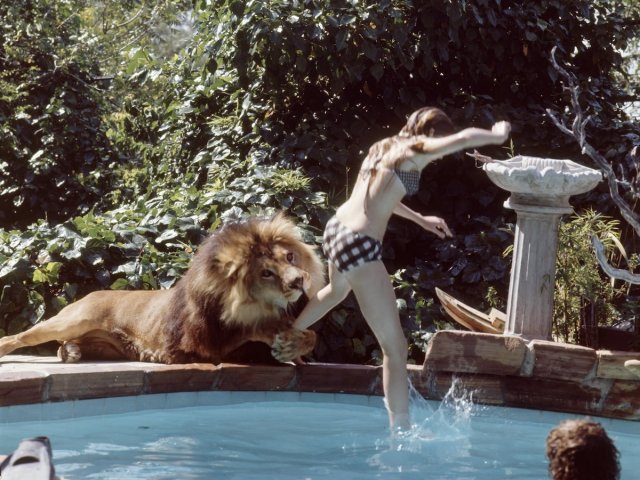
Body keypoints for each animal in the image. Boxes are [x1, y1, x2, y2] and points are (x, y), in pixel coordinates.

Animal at [0, 214, 322, 364]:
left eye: (289, 257)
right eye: (266, 272)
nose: (299, 281)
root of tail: (90, 292)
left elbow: (311, 336)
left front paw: (294, 343)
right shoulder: (200, 346)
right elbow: (248, 330)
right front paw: (279, 336)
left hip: (107, 346)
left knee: (64, 346)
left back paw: (70, 352)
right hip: (72, 320)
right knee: (21, 336)